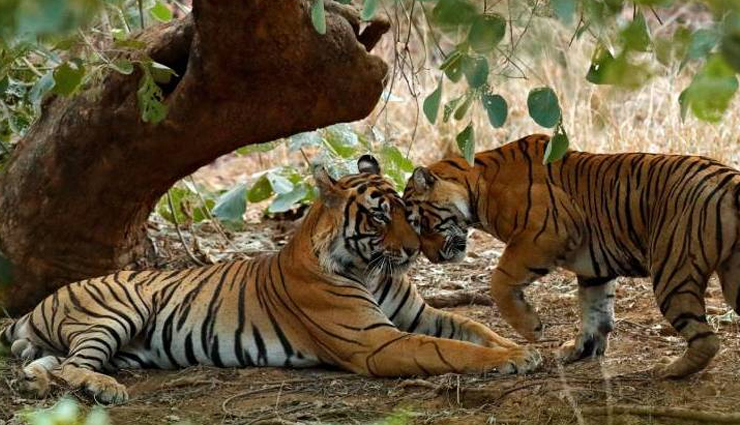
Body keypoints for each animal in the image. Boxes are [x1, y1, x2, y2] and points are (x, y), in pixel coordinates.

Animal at [1, 155, 540, 404]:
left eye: (408, 212)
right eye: (379, 217)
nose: (411, 251)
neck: (371, 270)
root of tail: (38, 304)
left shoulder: (421, 314)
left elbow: (475, 329)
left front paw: (525, 347)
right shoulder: (376, 342)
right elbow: (452, 350)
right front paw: (514, 359)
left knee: (51, 364)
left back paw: (41, 382)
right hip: (116, 310)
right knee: (75, 366)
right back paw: (106, 388)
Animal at [403, 134, 740, 379]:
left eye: (421, 224)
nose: (432, 258)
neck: (478, 185)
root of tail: (730, 178)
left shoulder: (544, 234)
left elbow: (500, 281)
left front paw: (532, 328)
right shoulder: (594, 268)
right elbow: (595, 311)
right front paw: (582, 350)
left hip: (672, 270)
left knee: (707, 339)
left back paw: (669, 370)